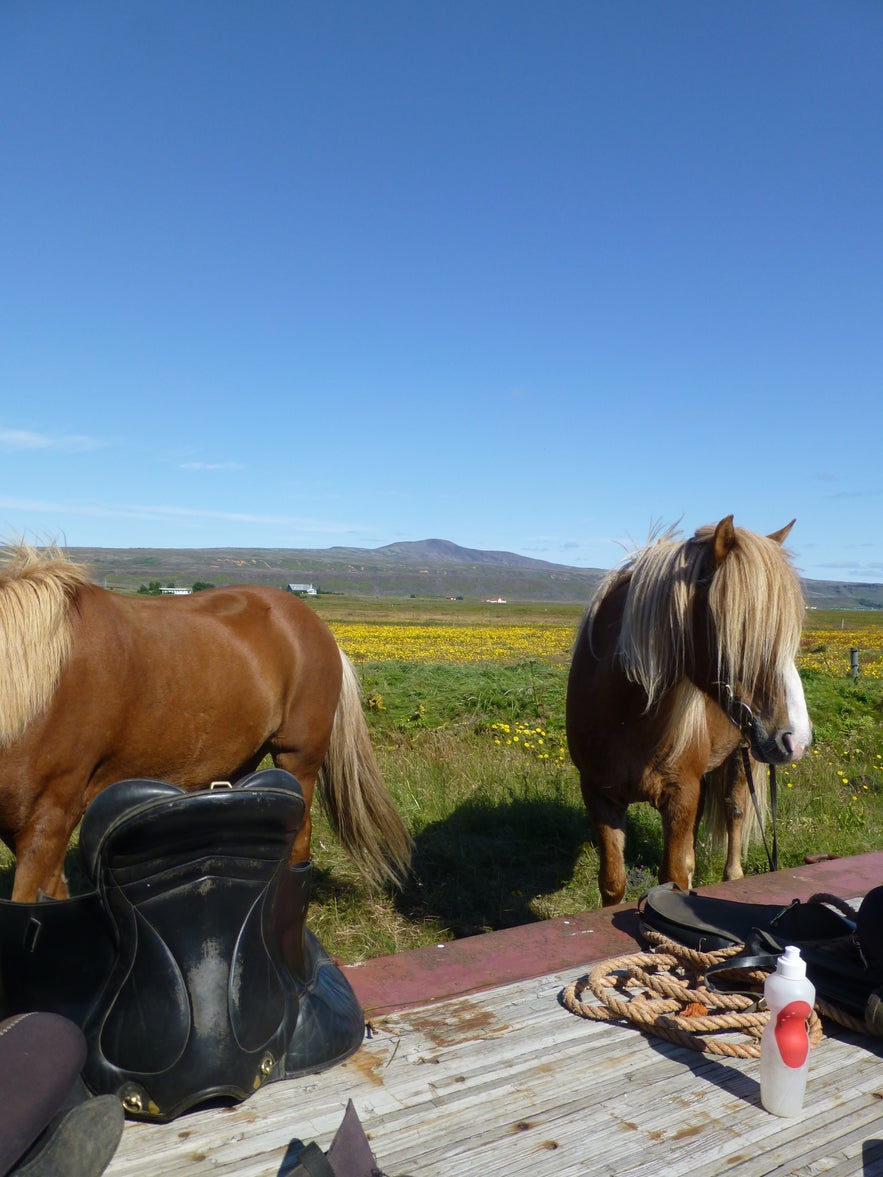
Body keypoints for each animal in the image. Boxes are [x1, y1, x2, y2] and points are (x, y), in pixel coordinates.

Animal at [569, 517, 814, 908]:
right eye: (741, 628)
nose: (798, 739)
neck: (626, 716)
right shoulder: (599, 795)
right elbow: (613, 881)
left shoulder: (681, 795)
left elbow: (672, 876)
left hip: (743, 757)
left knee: (734, 812)